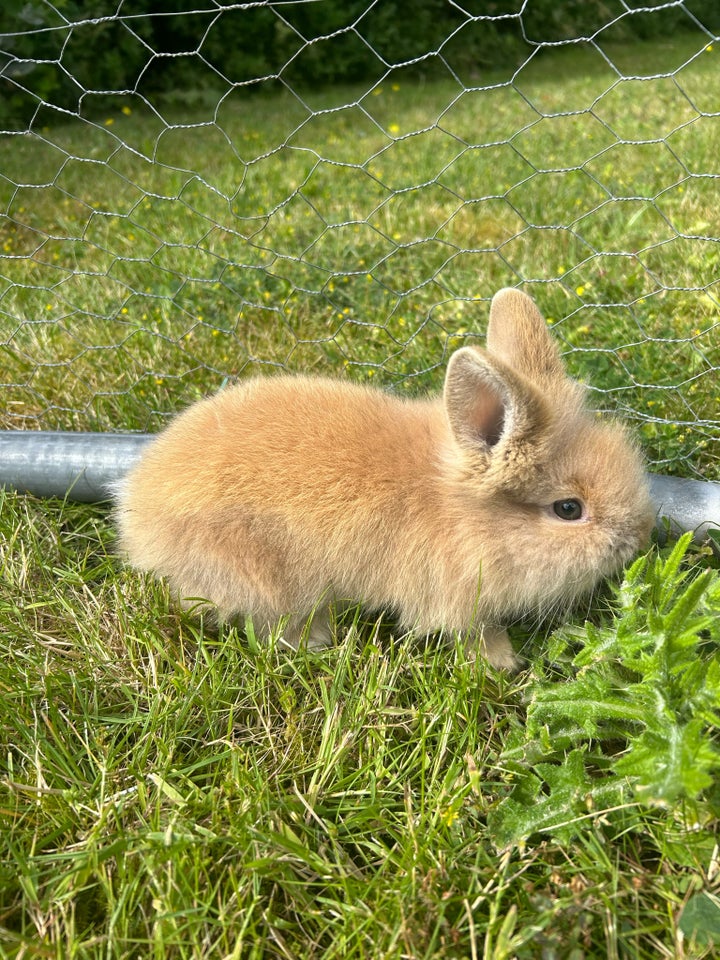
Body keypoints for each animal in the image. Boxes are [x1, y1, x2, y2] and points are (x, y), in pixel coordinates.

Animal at [114, 288, 660, 672]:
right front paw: (504, 662)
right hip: (263, 576)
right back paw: (319, 641)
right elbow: (476, 632)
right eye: (568, 509)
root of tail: (137, 511)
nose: (640, 537)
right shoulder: (457, 599)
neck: (460, 512)